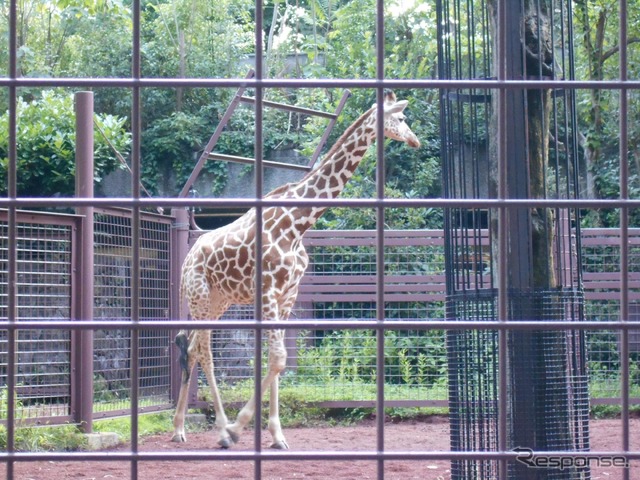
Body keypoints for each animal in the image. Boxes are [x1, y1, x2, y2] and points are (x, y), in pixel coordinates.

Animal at [171, 90, 420, 450]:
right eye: (401, 118)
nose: (415, 140)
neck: (299, 221)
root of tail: (186, 261)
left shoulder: (287, 295)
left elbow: (277, 361)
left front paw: (277, 436)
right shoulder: (268, 290)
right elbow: (278, 358)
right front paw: (239, 427)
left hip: (219, 301)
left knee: (191, 348)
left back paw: (178, 428)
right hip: (200, 297)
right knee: (204, 351)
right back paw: (221, 429)